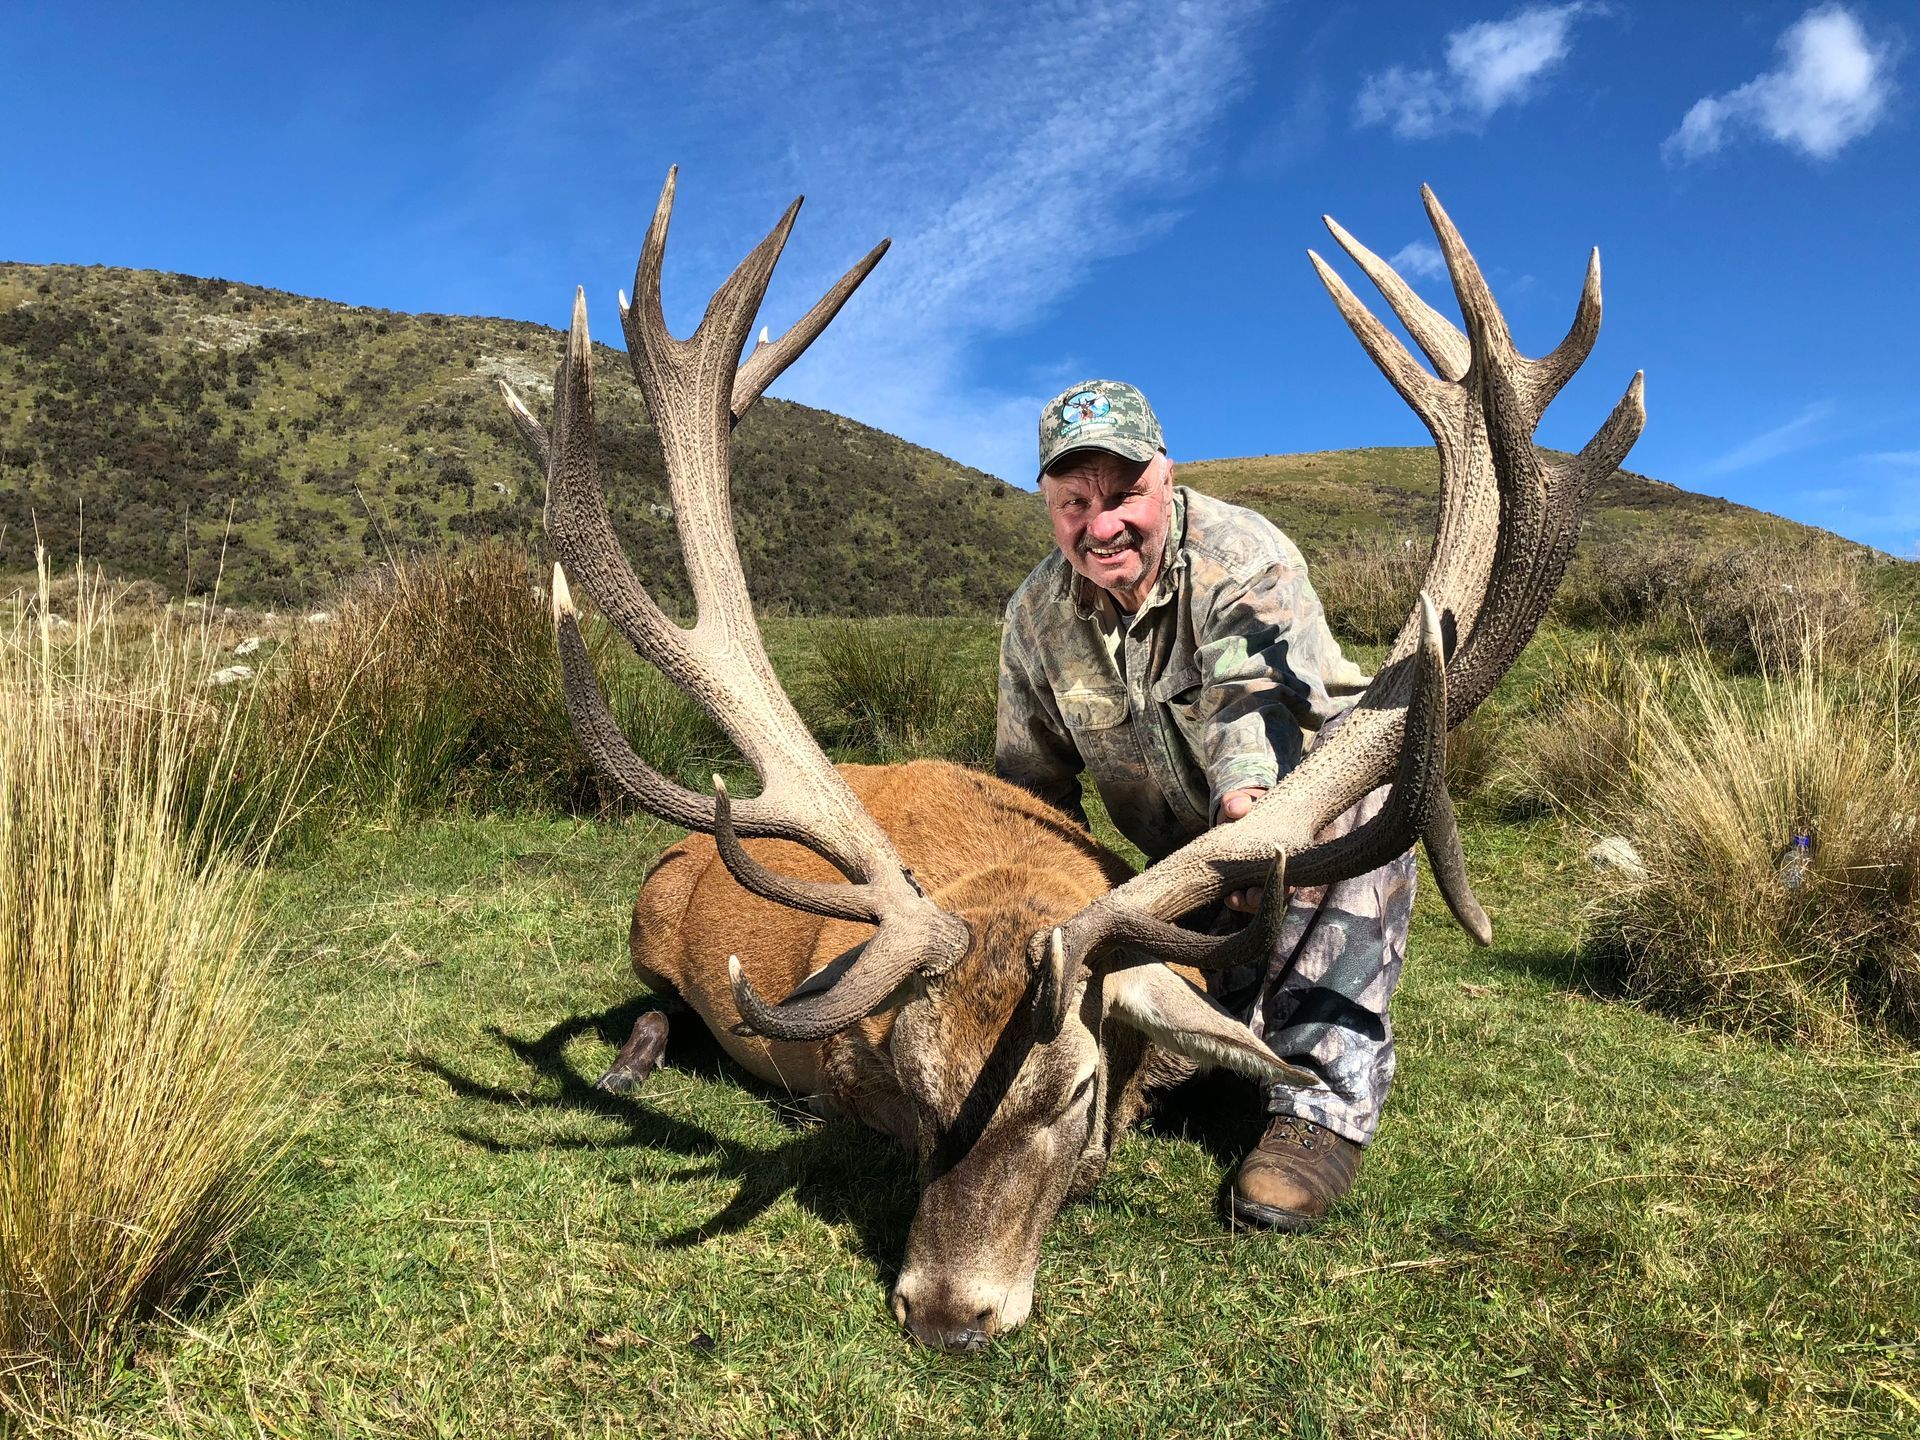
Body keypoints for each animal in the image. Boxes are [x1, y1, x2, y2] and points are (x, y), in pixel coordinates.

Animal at [496, 168, 1644, 1351]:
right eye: (916, 1083)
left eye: (1077, 1093)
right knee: (651, 1005)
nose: (948, 1314)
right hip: (648, 919)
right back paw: (629, 1061)